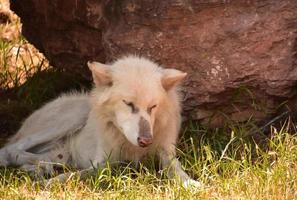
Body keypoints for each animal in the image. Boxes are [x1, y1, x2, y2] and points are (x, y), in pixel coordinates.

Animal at [0, 55, 201, 188]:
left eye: (153, 107)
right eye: (128, 104)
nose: (146, 141)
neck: (129, 145)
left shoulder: (166, 153)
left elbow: (176, 169)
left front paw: (190, 183)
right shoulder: (102, 163)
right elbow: (76, 175)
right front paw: (51, 183)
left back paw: (42, 167)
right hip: (76, 114)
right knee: (10, 150)